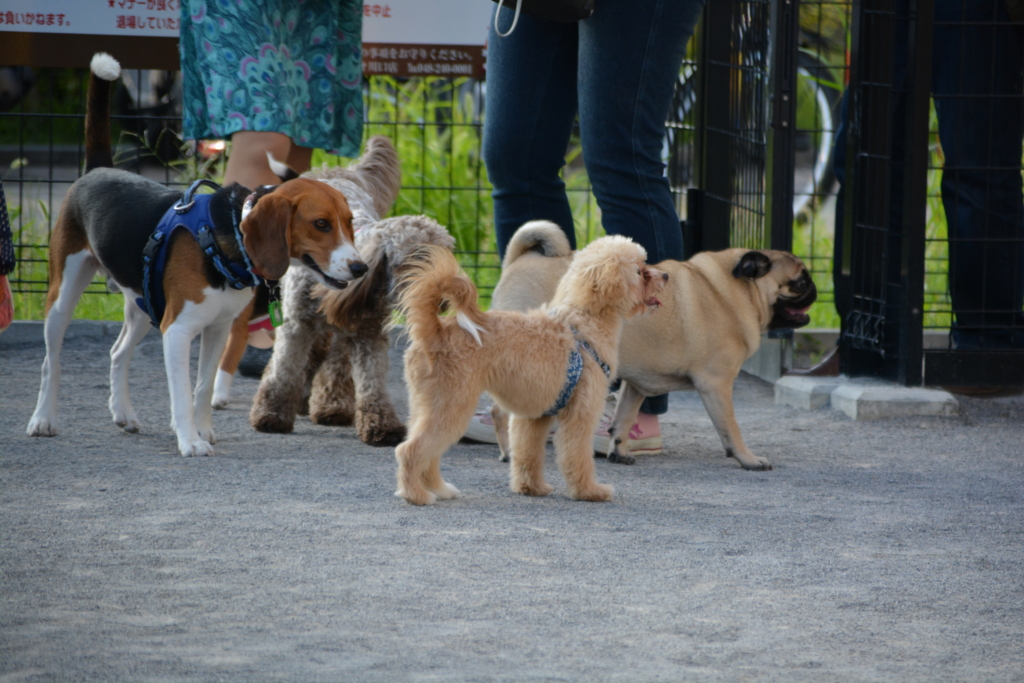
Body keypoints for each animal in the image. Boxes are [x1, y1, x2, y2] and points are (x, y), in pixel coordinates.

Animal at [247, 136, 456, 446]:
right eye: (415, 261)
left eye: (446, 259)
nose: (443, 299)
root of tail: (334, 171)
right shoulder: (296, 325)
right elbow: (284, 369)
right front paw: (271, 413)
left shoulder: (367, 333)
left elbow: (371, 381)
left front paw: (380, 423)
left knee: (334, 363)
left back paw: (330, 405)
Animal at [389, 236, 663, 507]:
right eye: (640, 271)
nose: (666, 276)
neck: (582, 322)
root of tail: (436, 332)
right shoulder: (580, 415)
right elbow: (577, 457)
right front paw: (589, 491)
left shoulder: (533, 417)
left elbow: (527, 455)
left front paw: (531, 488)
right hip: (451, 407)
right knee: (409, 451)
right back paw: (416, 495)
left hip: (427, 407)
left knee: (429, 455)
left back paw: (440, 489)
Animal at [487, 222, 815, 473]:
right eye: (799, 282)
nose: (814, 290)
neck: (731, 289)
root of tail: (519, 260)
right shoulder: (717, 385)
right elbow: (731, 429)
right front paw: (748, 459)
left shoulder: (637, 385)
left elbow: (623, 419)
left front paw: (619, 451)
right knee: (500, 411)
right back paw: (510, 451)